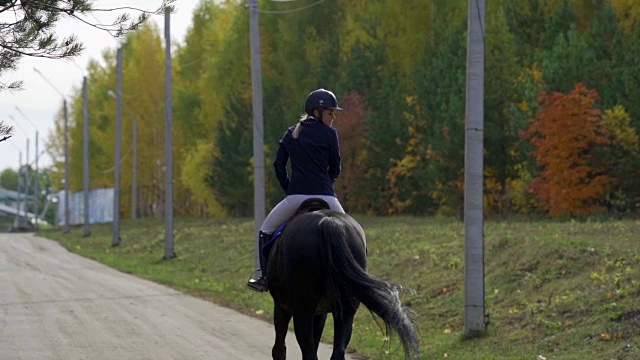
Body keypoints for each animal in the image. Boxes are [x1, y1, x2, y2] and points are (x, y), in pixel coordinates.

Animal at [264, 205, 420, 360]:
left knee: (308, 353)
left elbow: (279, 348)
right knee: (337, 351)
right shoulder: (319, 312)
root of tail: (329, 222)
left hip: (303, 310)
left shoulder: (283, 306)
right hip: (346, 309)